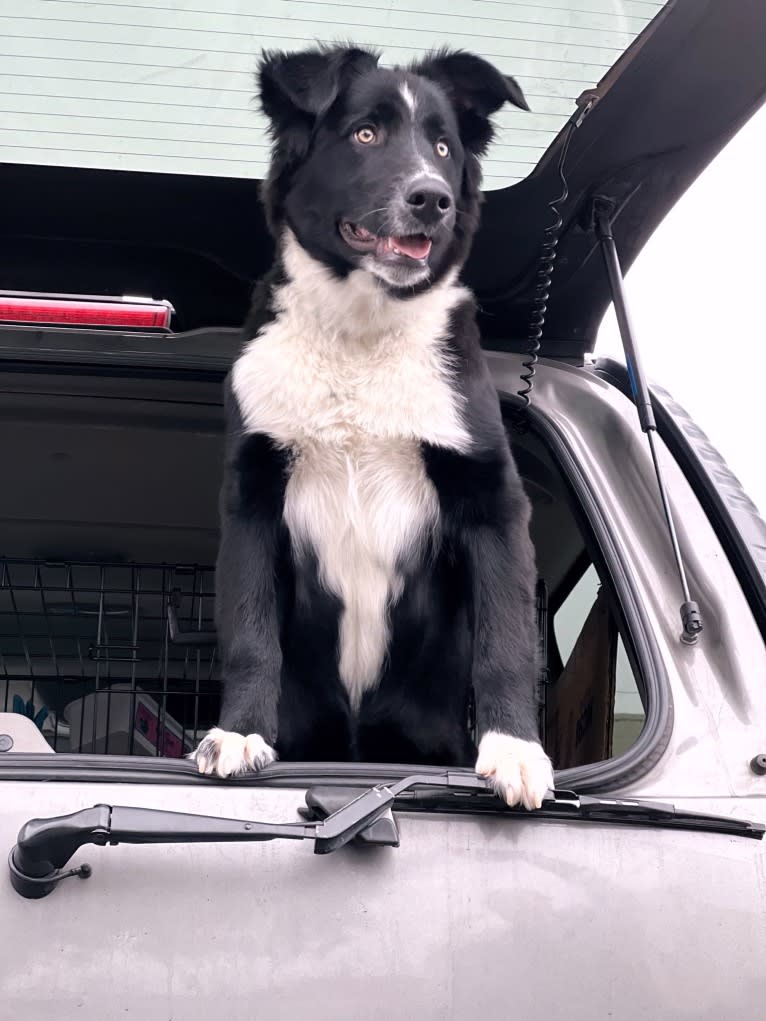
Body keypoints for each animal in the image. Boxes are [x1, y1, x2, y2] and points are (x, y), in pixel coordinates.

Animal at [189, 45, 555, 804]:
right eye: (364, 134)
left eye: (443, 148)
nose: (432, 199)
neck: (360, 332)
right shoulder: (253, 493)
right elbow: (251, 633)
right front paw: (238, 733)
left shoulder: (492, 495)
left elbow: (506, 639)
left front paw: (514, 750)